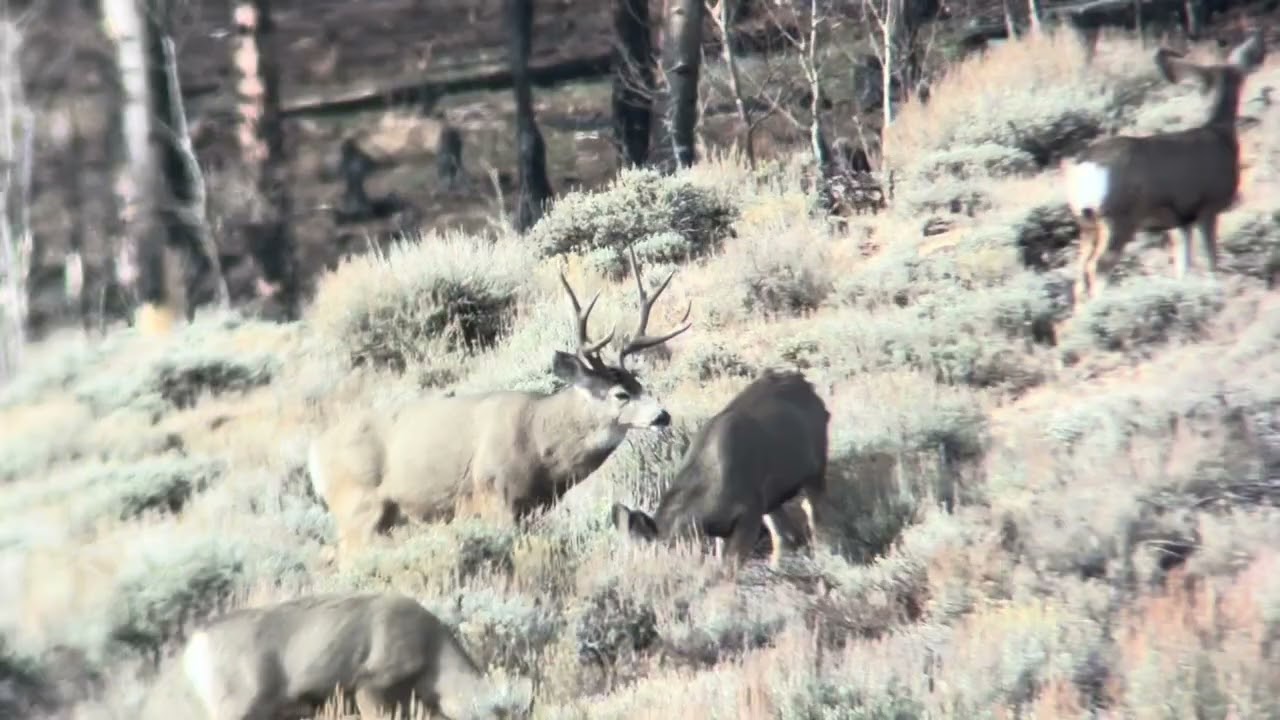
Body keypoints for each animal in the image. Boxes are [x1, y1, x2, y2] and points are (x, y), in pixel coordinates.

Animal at [308, 245, 693, 564]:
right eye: (620, 394)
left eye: (640, 383)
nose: (663, 415)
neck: (540, 441)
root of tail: (315, 454)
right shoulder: (494, 495)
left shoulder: (533, 507)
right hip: (357, 505)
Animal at [610, 369, 830, 567]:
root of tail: (808, 385)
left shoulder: (749, 513)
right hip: (772, 497)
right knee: (786, 533)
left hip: (816, 468)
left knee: (814, 514)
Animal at [1062, 29, 1266, 310]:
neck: (1218, 133)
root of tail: (1085, 164)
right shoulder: (1207, 207)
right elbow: (1211, 259)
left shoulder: (1181, 221)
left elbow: (1183, 264)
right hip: (1118, 218)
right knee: (1099, 266)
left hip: (1087, 224)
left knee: (1080, 272)